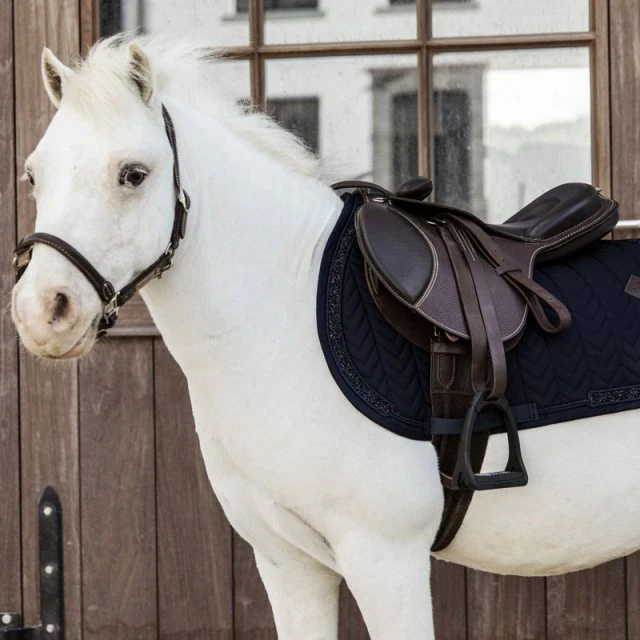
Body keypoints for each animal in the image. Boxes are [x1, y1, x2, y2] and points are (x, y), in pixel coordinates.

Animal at [11, 37, 640, 639]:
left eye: (133, 174)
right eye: (34, 174)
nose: (44, 310)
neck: (283, 322)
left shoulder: (385, 557)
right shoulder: (288, 564)